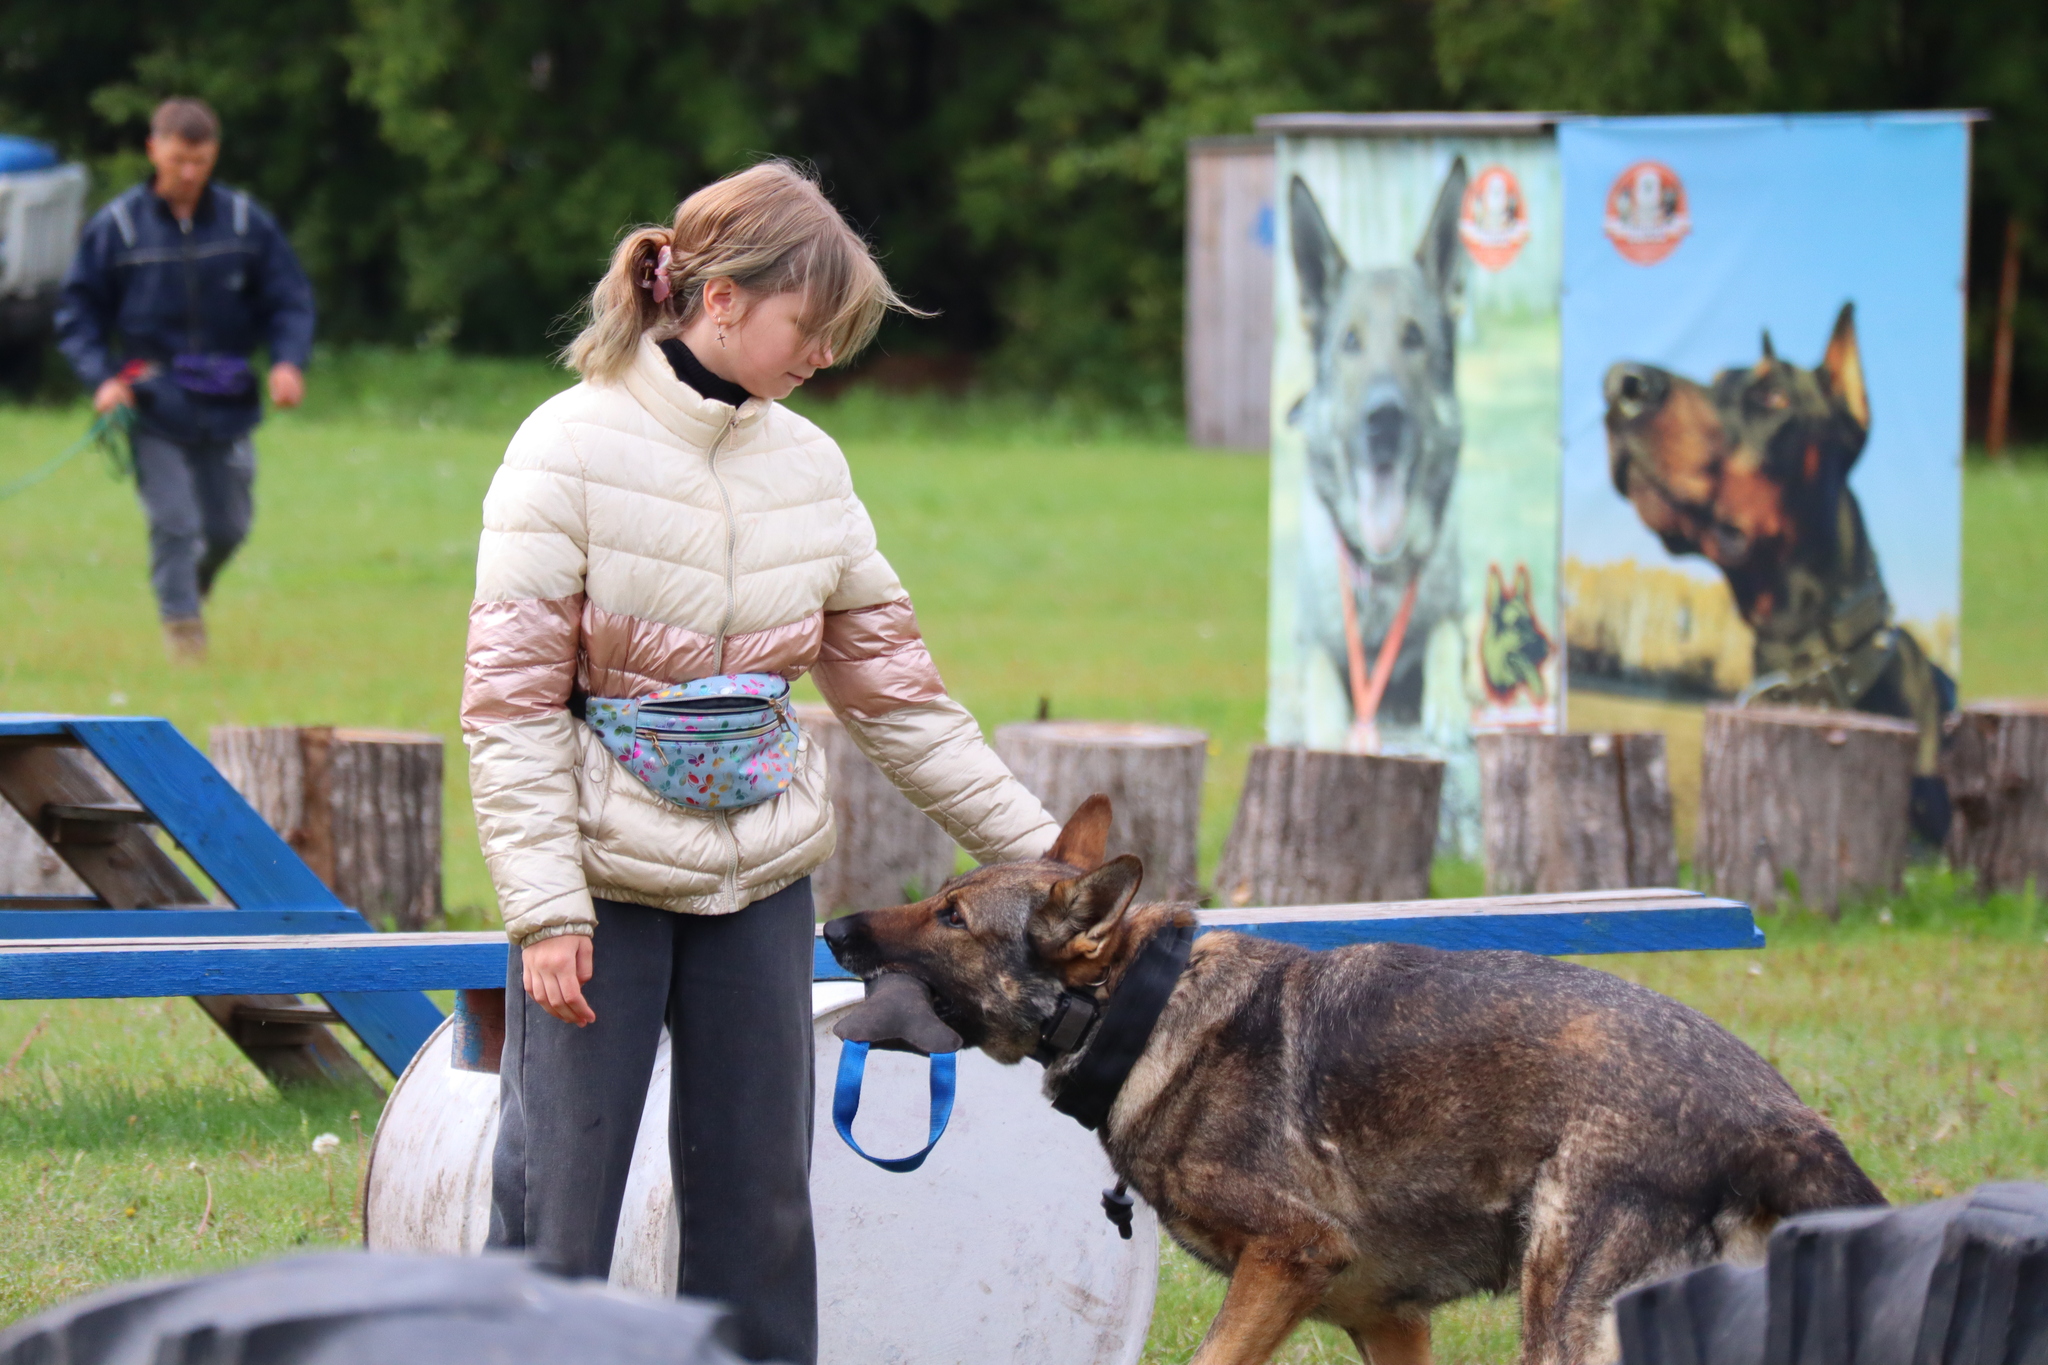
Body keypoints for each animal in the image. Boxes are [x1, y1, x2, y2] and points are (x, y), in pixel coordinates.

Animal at [823, 802, 1875, 1365]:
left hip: (1569, 1316)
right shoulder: (1385, 1316)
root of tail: (1783, 1119)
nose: (832, 927)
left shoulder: (1291, 1254)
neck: (1138, 1009)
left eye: (952, 915)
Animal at [1286, 165, 1466, 753]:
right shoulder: (1308, 645)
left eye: (1414, 338)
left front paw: (1448, 704)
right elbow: (1319, 677)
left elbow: (1446, 638)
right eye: (1350, 341)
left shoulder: (1454, 615)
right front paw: (1327, 729)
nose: (1384, 418)